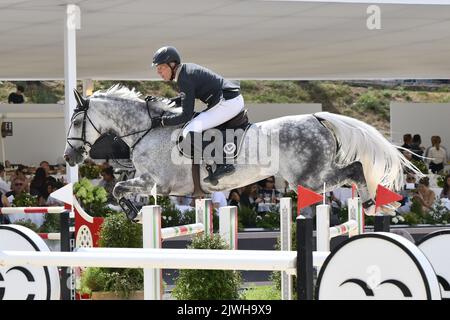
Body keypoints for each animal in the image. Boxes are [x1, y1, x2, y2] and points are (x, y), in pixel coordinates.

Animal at [65, 86, 420, 215]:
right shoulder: (151, 184)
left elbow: (118, 188)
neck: (149, 130)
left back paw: (375, 203)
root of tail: (317, 117)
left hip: (308, 176)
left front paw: (131, 212)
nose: (70, 158)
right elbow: (119, 187)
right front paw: (132, 211)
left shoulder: (155, 182)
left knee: (355, 170)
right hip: (309, 177)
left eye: (76, 121)